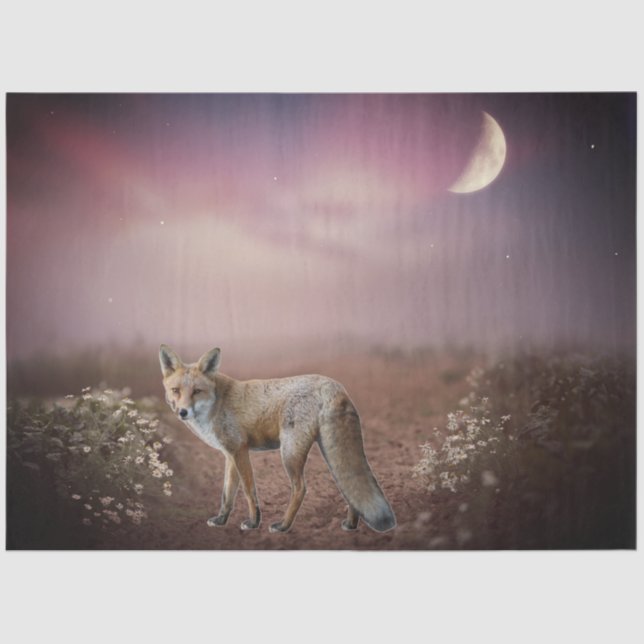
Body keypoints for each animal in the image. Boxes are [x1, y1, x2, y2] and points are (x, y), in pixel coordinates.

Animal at [159, 344, 396, 533]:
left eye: (197, 391)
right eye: (176, 390)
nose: (182, 412)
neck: (217, 404)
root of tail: (335, 385)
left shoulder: (240, 450)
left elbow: (249, 491)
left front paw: (253, 523)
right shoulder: (230, 454)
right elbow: (227, 494)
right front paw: (221, 520)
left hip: (290, 453)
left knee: (301, 489)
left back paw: (283, 525)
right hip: (328, 451)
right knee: (348, 487)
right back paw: (351, 525)